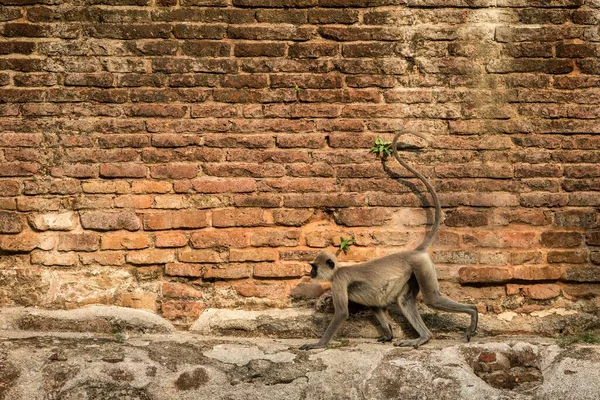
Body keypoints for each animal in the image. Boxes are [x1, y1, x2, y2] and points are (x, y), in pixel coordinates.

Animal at [300, 132, 478, 350]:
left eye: (314, 267)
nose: (310, 273)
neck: (337, 270)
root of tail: (414, 251)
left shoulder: (339, 281)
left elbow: (342, 313)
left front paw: (318, 344)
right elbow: (375, 306)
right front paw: (388, 334)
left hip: (420, 265)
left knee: (432, 299)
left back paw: (472, 312)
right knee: (405, 301)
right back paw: (423, 337)